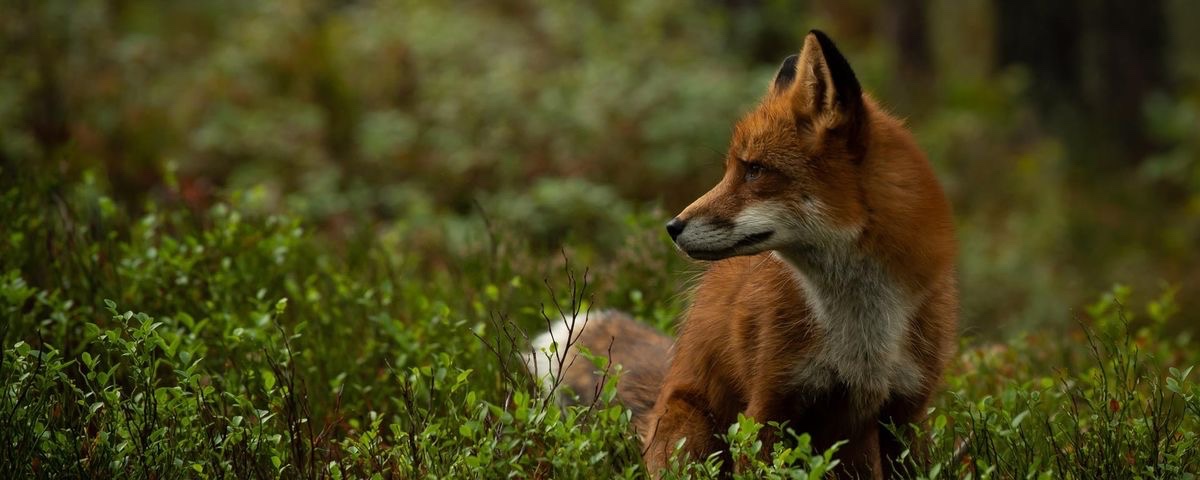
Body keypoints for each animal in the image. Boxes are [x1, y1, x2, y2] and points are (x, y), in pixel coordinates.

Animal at [526, 30, 957, 479]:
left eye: (754, 169)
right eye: (733, 169)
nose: (672, 227)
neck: (860, 330)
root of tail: (661, 391)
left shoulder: (907, 412)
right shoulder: (770, 402)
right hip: (694, 435)